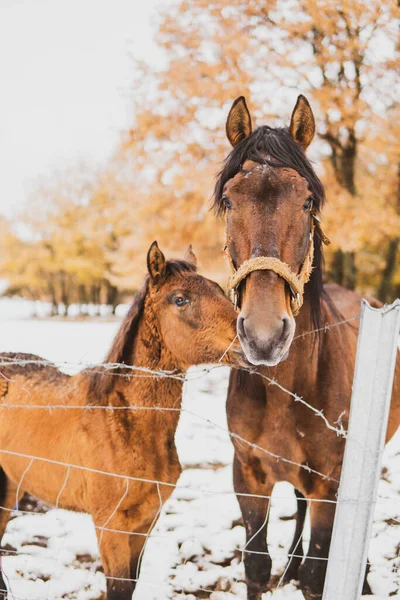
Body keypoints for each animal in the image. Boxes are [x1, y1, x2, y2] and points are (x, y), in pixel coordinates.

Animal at [0, 243, 242, 600]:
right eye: (180, 299)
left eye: (221, 290)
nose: (256, 339)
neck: (123, 425)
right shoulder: (110, 526)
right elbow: (117, 586)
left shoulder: (145, 522)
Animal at [216, 96, 400, 596]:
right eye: (228, 200)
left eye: (308, 200)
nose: (264, 335)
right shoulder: (248, 476)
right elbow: (256, 565)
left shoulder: (329, 486)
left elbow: (320, 572)